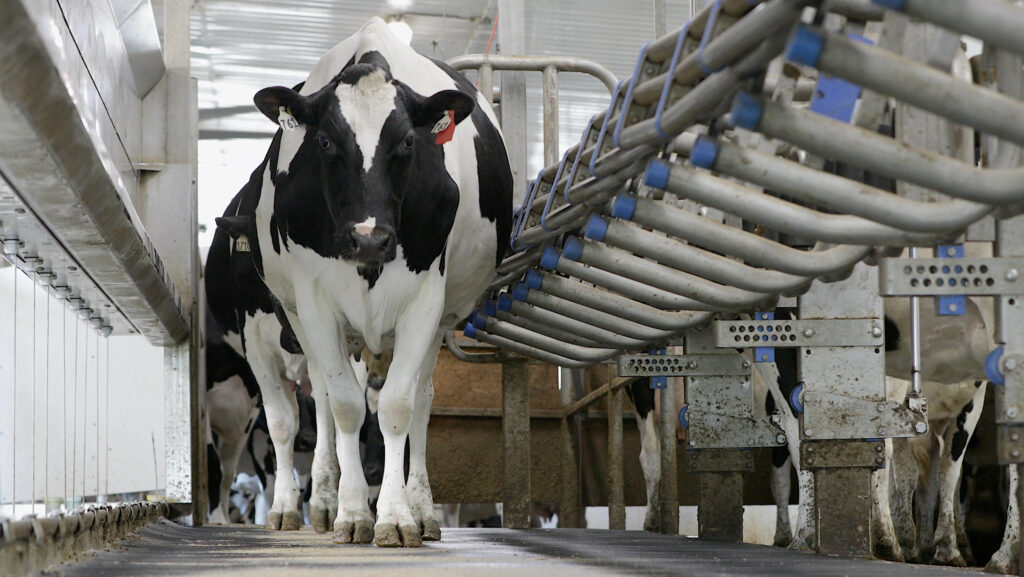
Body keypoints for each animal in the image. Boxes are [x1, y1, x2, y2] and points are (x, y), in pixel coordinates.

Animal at [218, 17, 513, 547]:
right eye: (324, 142)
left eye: (409, 142)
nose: (369, 237)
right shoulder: (313, 302)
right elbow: (345, 408)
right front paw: (352, 512)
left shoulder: (425, 301)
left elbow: (397, 406)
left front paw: (396, 516)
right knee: (322, 400)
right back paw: (322, 501)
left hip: (438, 323)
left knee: (422, 401)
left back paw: (423, 509)